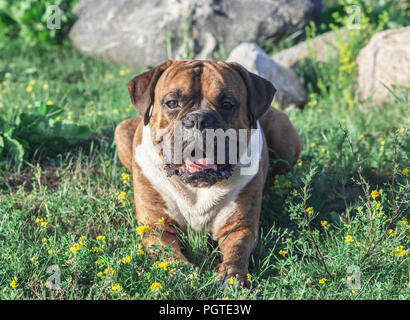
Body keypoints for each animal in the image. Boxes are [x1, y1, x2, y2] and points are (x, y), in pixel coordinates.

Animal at [113, 60, 300, 288]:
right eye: (172, 103)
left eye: (227, 104)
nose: (198, 119)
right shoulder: (157, 226)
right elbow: (166, 252)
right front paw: (179, 270)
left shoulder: (239, 228)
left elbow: (237, 251)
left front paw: (231, 276)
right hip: (121, 131)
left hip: (286, 136)